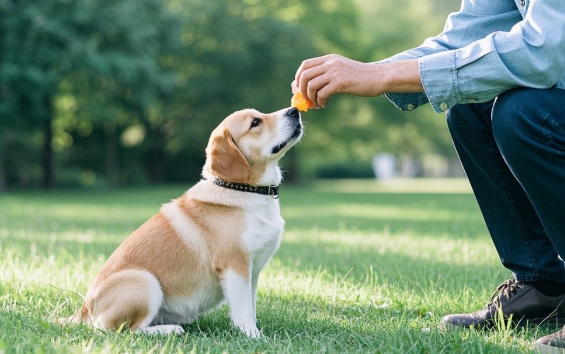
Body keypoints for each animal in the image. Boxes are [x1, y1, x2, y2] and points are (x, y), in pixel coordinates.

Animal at [66, 106, 302, 338]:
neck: (247, 190)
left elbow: (250, 307)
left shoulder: (252, 273)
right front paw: (253, 336)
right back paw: (169, 330)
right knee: (126, 330)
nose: (294, 110)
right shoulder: (235, 267)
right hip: (145, 282)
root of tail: (84, 311)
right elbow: (243, 311)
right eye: (255, 122)